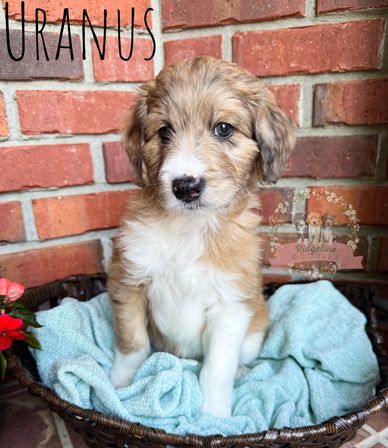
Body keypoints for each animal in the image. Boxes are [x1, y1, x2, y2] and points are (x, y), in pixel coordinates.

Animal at [107, 57, 296, 418]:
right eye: (164, 131)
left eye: (223, 129)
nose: (185, 186)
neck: (189, 228)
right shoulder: (128, 279)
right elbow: (132, 343)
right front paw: (118, 384)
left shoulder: (231, 306)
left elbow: (217, 369)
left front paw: (214, 416)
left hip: (253, 333)